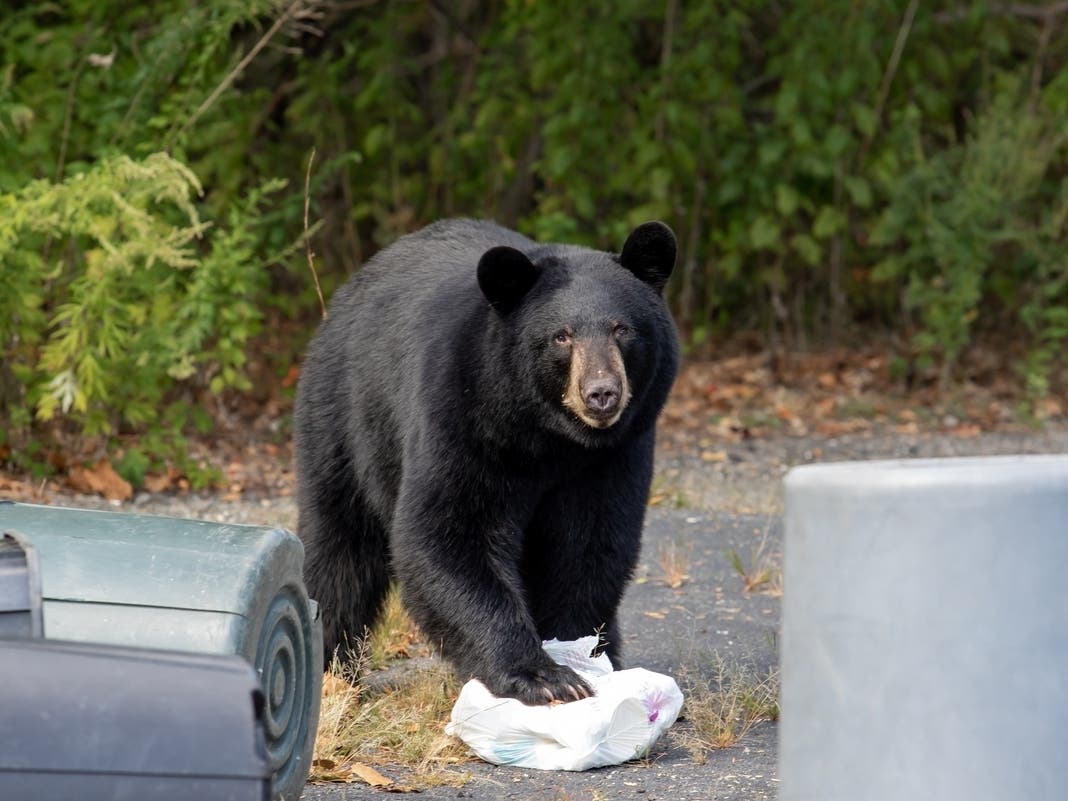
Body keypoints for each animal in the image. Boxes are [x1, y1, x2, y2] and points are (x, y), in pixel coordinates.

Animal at [294, 218, 679, 705]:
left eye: (622, 329)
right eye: (562, 335)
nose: (601, 393)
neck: (550, 436)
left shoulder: (615, 454)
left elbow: (590, 544)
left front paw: (578, 653)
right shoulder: (463, 418)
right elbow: (448, 533)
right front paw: (544, 677)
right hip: (346, 419)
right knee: (339, 549)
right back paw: (332, 671)